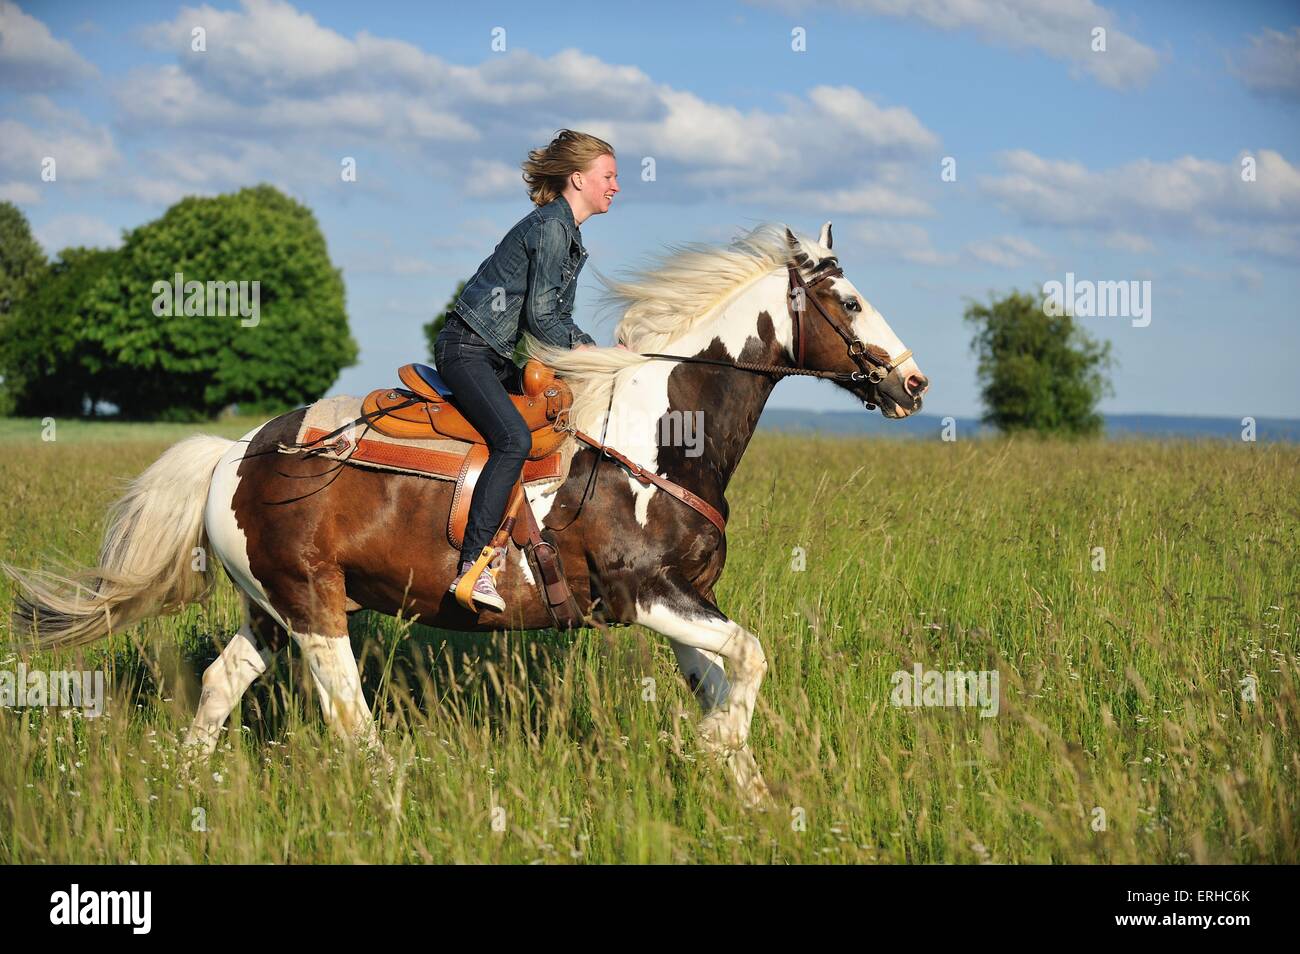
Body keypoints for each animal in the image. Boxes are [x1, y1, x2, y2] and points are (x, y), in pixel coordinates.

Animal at [7, 223, 925, 805]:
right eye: (847, 301)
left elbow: (724, 677)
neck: (658, 435)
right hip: (314, 607)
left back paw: (187, 782)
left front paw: (751, 796)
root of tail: (233, 453)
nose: (913, 383)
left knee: (221, 681)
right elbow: (751, 659)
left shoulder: (680, 603)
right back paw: (393, 799)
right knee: (349, 718)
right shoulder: (646, 596)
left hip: (274, 608)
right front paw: (715, 755)